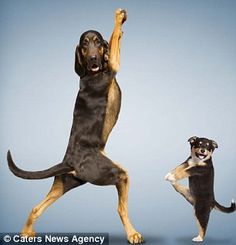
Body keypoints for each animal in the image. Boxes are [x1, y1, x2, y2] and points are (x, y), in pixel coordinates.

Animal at [6, 8, 144, 244]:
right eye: (84, 44)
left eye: (97, 42)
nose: (94, 59)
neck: (93, 71)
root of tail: (69, 160)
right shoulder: (114, 64)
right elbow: (114, 36)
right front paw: (118, 18)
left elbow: (114, 38)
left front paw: (121, 24)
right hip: (117, 173)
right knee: (120, 209)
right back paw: (132, 233)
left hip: (65, 183)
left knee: (35, 208)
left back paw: (25, 233)